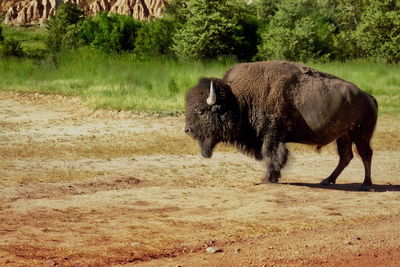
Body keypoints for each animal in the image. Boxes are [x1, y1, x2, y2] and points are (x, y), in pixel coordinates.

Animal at [184, 61, 378, 189]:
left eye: (200, 111)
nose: (187, 130)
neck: (238, 99)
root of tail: (368, 96)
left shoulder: (272, 135)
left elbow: (271, 154)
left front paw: (268, 178)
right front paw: (271, 177)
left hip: (360, 135)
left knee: (365, 154)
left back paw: (366, 184)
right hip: (344, 136)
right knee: (346, 156)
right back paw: (327, 180)